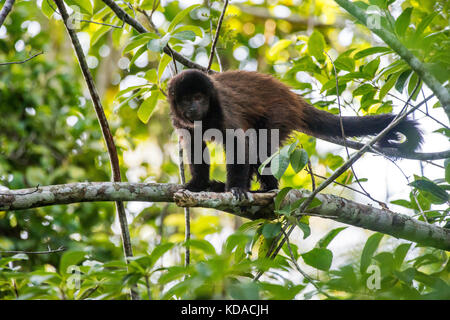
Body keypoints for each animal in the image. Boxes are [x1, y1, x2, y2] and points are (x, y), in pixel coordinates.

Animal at [166, 69, 422, 196]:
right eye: (187, 99)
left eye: (199, 97)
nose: (193, 107)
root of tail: (291, 95)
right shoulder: (180, 121)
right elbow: (194, 148)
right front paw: (197, 184)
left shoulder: (222, 109)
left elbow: (239, 143)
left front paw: (237, 188)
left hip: (280, 112)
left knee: (261, 146)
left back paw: (267, 188)